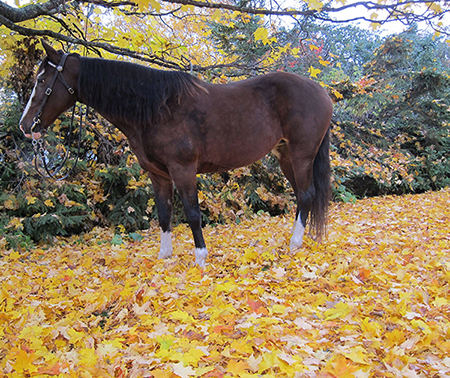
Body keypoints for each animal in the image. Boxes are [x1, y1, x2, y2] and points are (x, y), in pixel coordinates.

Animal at [19, 41, 332, 268]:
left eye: (42, 80)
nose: (25, 125)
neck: (156, 108)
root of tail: (322, 92)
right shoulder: (158, 175)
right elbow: (164, 213)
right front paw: (165, 257)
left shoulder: (183, 170)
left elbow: (192, 213)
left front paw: (201, 259)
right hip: (286, 155)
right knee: (303, 195)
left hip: (301, 154)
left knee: (306, 195)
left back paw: (294, 244)